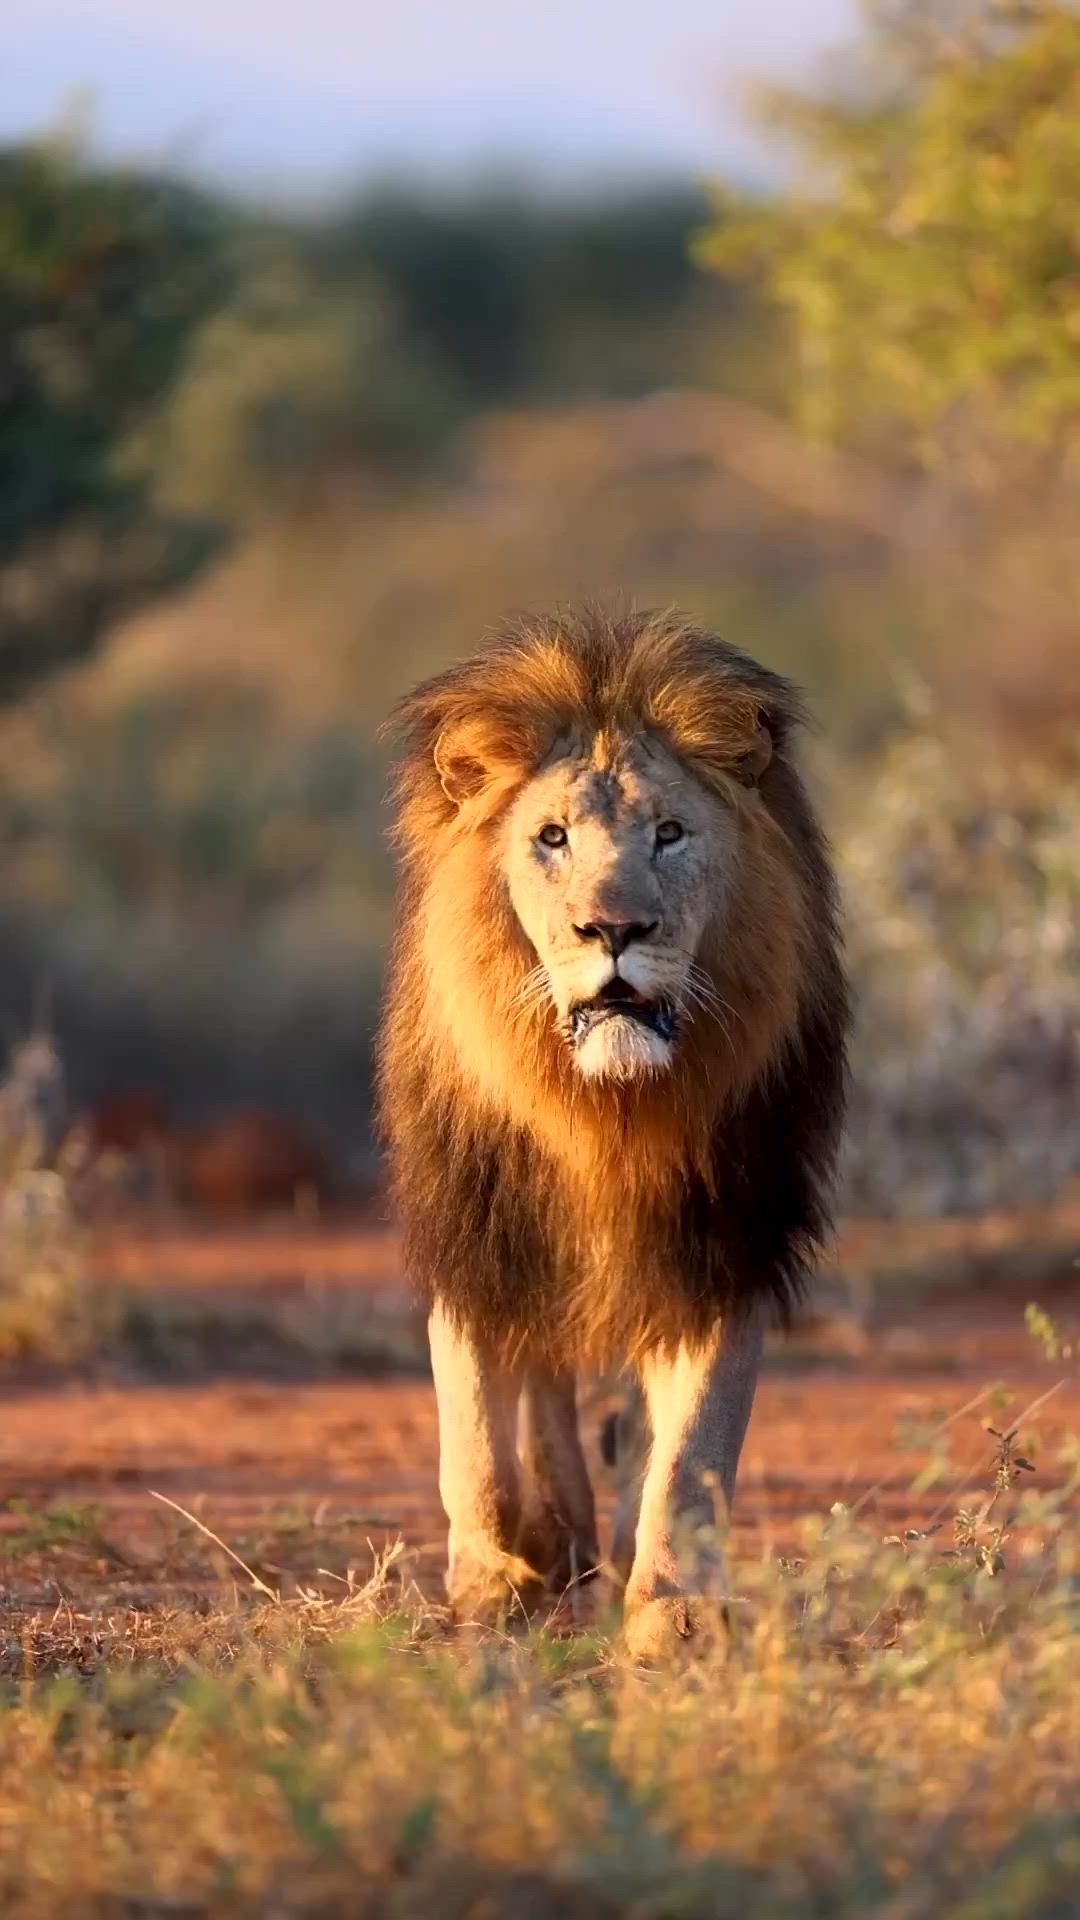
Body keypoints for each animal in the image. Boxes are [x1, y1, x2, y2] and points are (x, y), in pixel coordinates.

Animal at [377, 608, 848, 1657]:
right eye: (550, 837)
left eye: (669, 834)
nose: (615, 929)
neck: (603, 1110)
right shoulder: (476, 1221)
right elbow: (475, 1426)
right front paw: (492, 1580)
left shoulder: (724, 1237)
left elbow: (694, 1449)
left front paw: (672, 1609)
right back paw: (553, 1538)